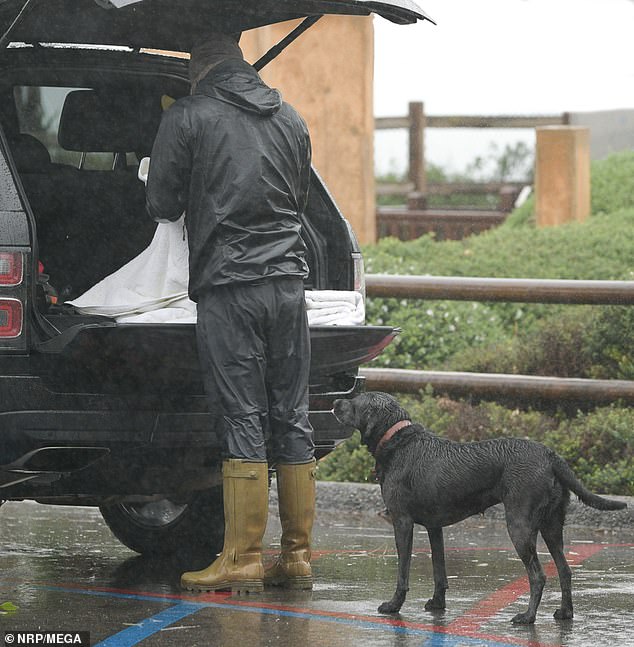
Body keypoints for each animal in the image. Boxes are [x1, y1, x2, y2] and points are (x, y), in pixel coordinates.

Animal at [334, 392, 624, 624]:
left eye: (355, 402)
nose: (335, 402)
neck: (399, 440)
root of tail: (551, 456)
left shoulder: (402, 522)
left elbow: (402, 572)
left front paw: (394, 606)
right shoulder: (434, 527)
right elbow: (439, 570)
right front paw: (437, 604)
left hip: (519, 526)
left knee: (538, 575)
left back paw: (527, 617)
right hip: (552, 526)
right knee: (564, 570)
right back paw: (565, 613)